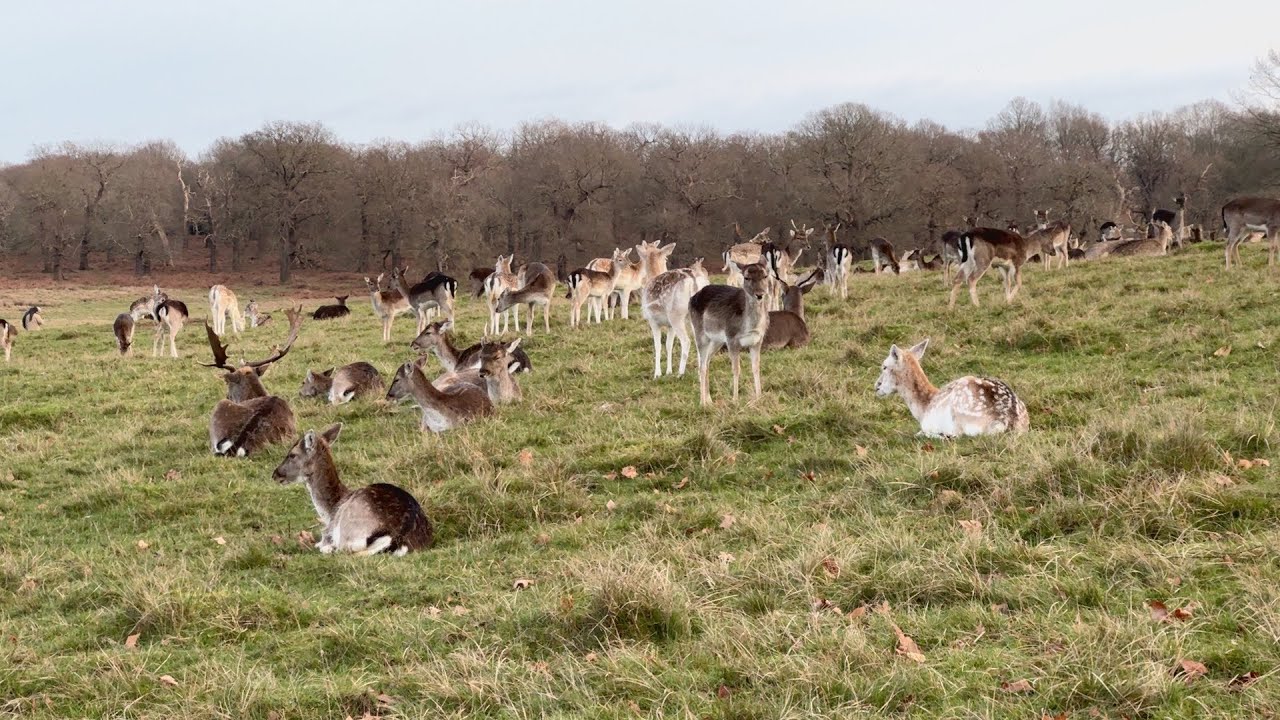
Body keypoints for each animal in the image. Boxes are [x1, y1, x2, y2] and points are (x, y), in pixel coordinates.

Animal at [272, 423, 433, 556]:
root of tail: (397, 537)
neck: (329, 511)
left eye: (292, 454)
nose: (275, 474)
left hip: (348, 528)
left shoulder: (329, 531)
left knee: (342, 549)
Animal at [640, 242, 707, 378]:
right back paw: (700, 370)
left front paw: (657, 374)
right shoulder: (669, 326)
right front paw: (668, 371)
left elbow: (658, 346)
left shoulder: (652, 320)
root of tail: (693, 280)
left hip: (676, 315)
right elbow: (668, 345)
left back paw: (680, 373)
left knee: (686, 341)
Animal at [690, 262, 771, 406]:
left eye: (765, 276)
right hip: (700, 334)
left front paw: (759, 397)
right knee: (702, 365)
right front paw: (735, 400)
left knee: (708, 362)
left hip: (717, 341)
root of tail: (692, 298)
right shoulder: (731, 339)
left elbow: (756, 367)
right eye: (746, 277)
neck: (749, 326)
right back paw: (702, 402)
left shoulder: (757, 340)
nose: (759, 294)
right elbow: (736, 369)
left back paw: (710, 400)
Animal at [875, 339, 1029, 438]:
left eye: (884, 366)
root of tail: (1007, 421)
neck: (923, 409)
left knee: (956, 435)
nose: (876, 386)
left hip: (960, 414)